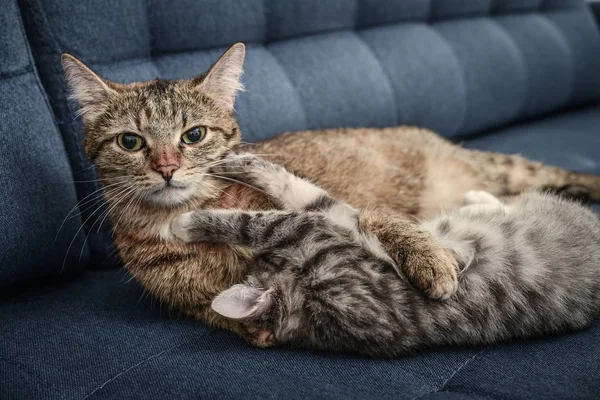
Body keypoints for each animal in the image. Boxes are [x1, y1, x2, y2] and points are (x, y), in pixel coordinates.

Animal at [168, 153, 600, 356]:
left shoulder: (336, 229)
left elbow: (289, 193)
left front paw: (233, 164)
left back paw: (477, 198)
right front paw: (185, 223)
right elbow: (267, 221)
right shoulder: (331, 237)